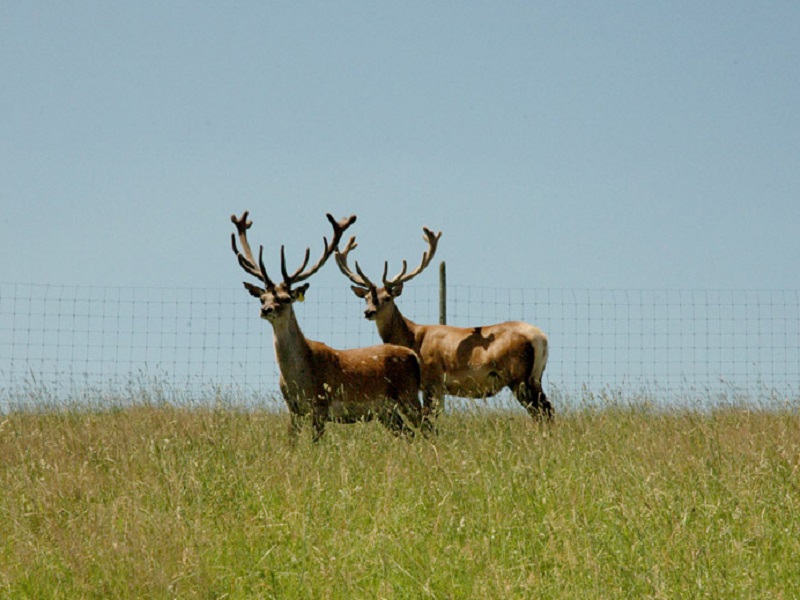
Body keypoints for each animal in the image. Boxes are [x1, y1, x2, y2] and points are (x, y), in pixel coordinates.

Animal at [231, 211, 424, 440]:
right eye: (263, 298)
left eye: (286, 298)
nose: (266, 310)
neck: (300, 378)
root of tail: (414, 356)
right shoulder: (293, 409)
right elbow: (291, 442)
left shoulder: (321, 404)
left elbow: (316, 442)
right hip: (386, 413)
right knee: (410, 434)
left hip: (408, 396)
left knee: (430, 428)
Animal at [334, 229, 552, 422]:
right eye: (366, 298)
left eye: (387, 298)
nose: (368, 312)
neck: (413, 340)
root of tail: (541, 338)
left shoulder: (433, 379)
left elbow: (430, 416)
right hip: (535, 376)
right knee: (547, 409)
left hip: (519, 375)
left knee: (542, 411)